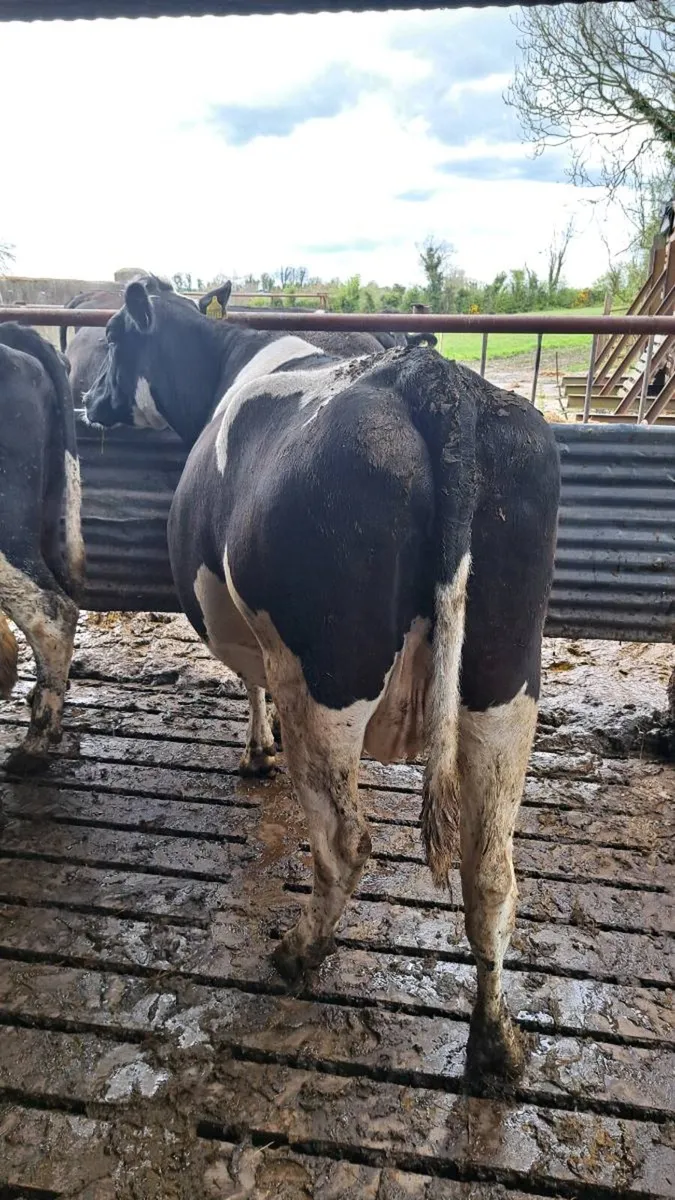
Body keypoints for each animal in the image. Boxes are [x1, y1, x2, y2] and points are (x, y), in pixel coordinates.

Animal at [84, 281, 560, 1083]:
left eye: (114, 337)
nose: (88, 399)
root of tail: (433, 380)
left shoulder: (247, 634)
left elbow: (249, 684)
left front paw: (257, 751)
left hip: (326, 674)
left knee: (345, 840)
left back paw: (297, 952)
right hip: (504, 681)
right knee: (491, 870)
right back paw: (495, 1039)